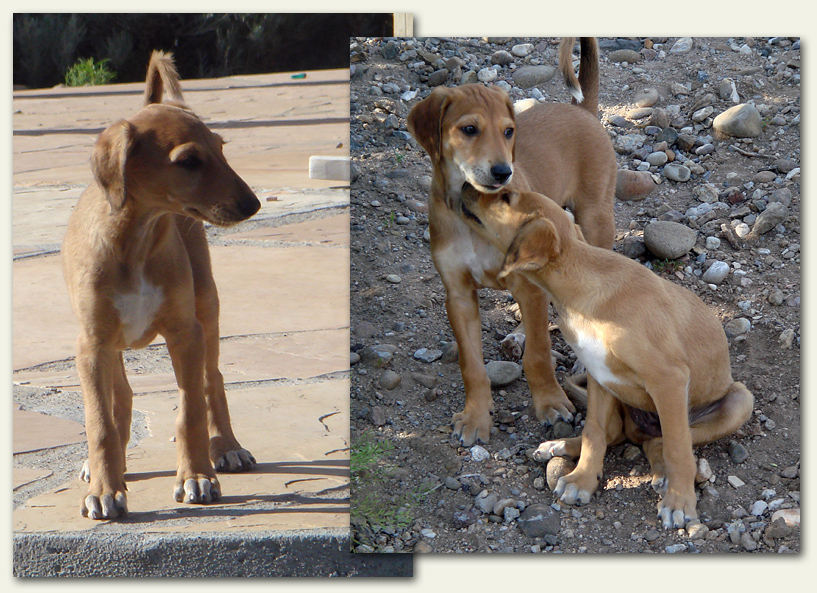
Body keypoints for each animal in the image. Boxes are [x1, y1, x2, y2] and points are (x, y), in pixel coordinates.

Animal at [62, 52, 260, 520]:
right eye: (189, 161)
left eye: (222, 149)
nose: (253, 205)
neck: (135, 240)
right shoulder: (91, 344)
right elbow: (100, 421)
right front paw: (105, 488)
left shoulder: (185, 334)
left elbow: (190, 409)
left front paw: (198, 476)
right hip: (113, 346)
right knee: (122, 396)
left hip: (207, 307)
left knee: (213, 379)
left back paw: (227, 446)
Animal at [404, 37, 616, 444]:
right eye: (469, 129)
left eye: (507, 132)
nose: (503, 172)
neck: (473, 222)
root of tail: (581, 110)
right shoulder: (459, 295)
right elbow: (471, 363)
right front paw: (475, 417)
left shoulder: (527, 284)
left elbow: (539, 354)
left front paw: (550, 402)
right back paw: (517, 336)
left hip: (595, 219)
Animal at [460, 185, 752, 528]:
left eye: (506, 199)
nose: (464, 186)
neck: (583, 295)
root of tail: (641, 429)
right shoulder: (599, 376)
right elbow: (594, 433)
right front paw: (582, 480)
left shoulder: (669, 379)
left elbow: (678, 447)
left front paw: (680, 502)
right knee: (620, 435)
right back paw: (560, 445)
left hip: (739, 400)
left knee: (663, 441)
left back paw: (663, 474)